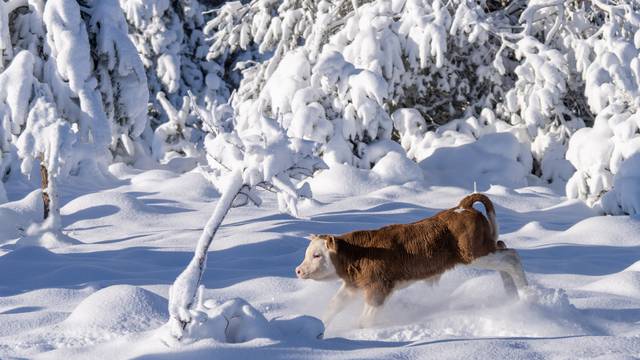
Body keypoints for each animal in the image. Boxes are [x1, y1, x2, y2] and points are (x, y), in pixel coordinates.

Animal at [298, 194, 528, 330]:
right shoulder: (354, 285)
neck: (359, 252)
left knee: (512, 257)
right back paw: (512, 296)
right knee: (504, 252)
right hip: (485, 250)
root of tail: (462, 207)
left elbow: (366, 319)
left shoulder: (378, 287)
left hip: (474, 254)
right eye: (308, 253)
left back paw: (527, 296)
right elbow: (334, 305)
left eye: (317, 255)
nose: (299, 271)